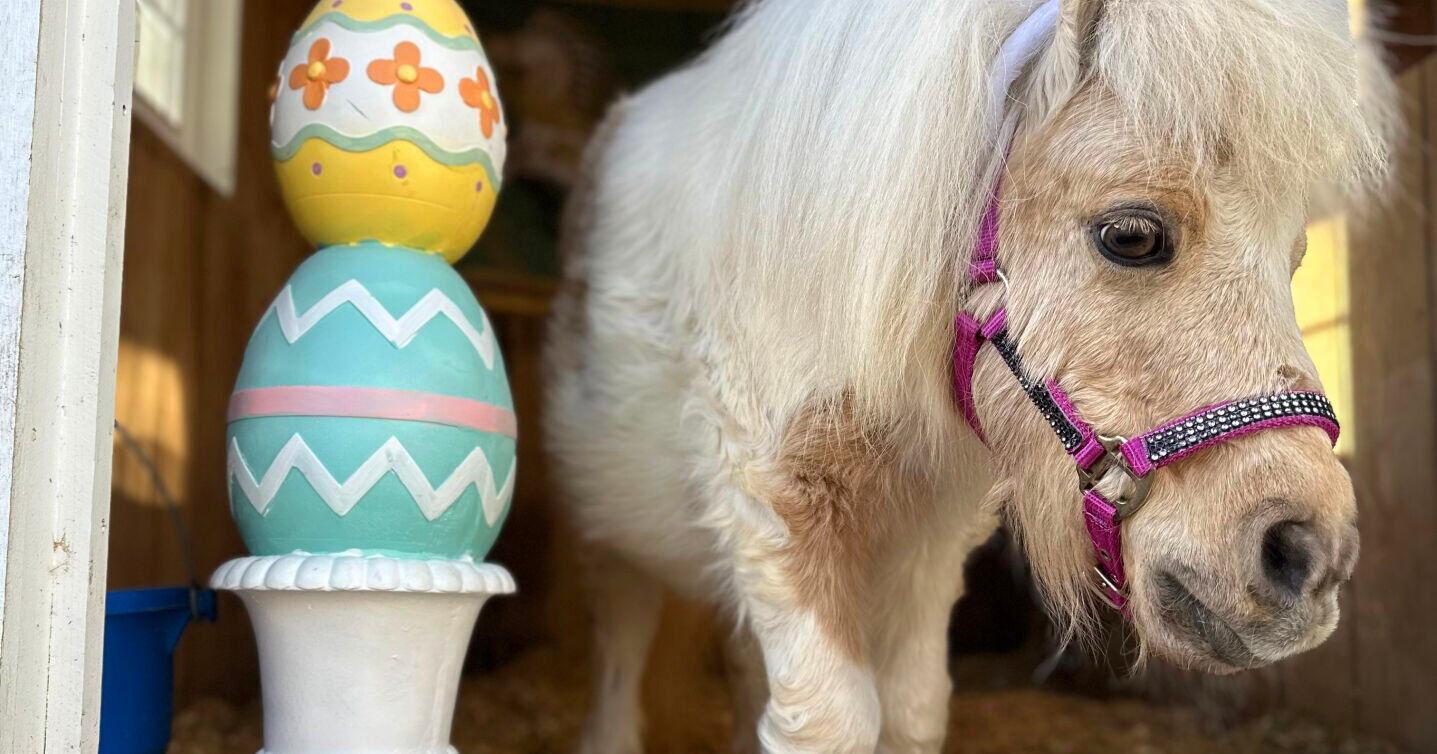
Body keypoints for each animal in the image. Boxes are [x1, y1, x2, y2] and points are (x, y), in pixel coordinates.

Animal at [542, 0, 1395, 751]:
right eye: (1131, 235)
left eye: (1294, 258)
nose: (1308, 558)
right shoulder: (776, 509)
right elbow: (830, 722)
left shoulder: (928, 540)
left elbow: (910, 713)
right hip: (612, 537)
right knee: (619, 647)